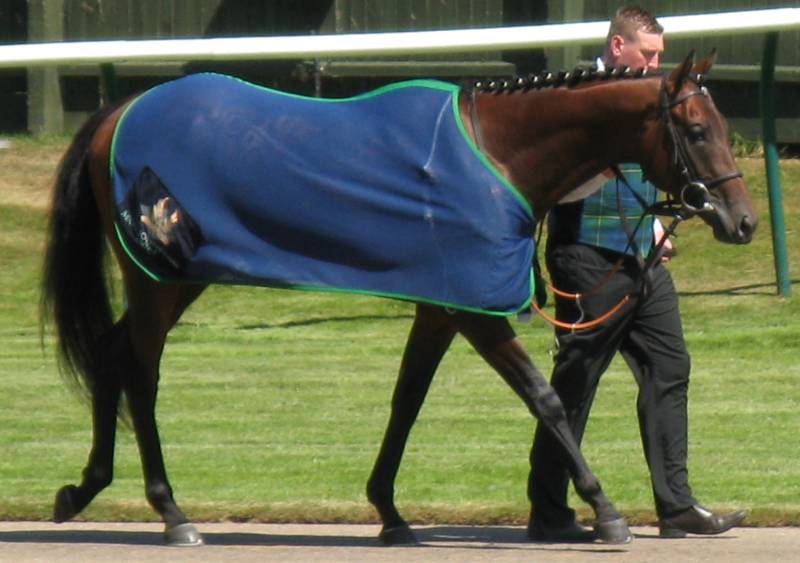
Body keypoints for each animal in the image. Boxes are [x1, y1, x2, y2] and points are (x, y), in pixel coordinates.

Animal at [41, 51, 755, 547]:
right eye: (696, 129)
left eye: (722, 124)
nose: (742, 220)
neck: (493, 155)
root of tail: (117, 112)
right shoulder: (474, 310)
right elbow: (545, 397)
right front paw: (604, 510)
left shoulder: (439, 307)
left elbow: (406, 400)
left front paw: (388, 510)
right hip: (159, 278)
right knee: (140, 373)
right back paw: (171, 512)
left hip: (177, 278)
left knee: (111, 353)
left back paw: (84, 487)